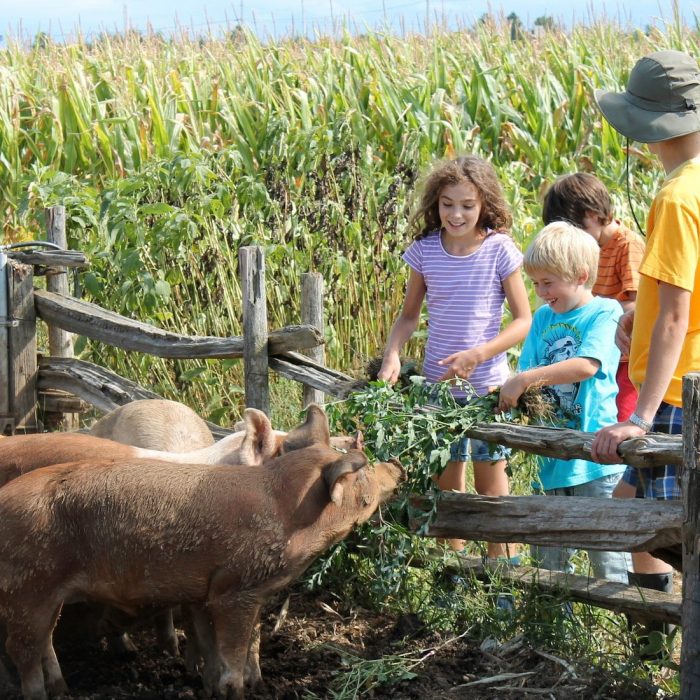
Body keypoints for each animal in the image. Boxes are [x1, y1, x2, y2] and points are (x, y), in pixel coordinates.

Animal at [0, 404, 402, 700]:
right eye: (363, 477)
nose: (396, 464)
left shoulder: (205, 589)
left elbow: (217, 645)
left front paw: (209, 680)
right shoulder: (236, 588)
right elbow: (231, 655)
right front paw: (235, 688)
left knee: (41, 641)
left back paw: (68, 685)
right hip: (28, 585)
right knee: (21, 647)